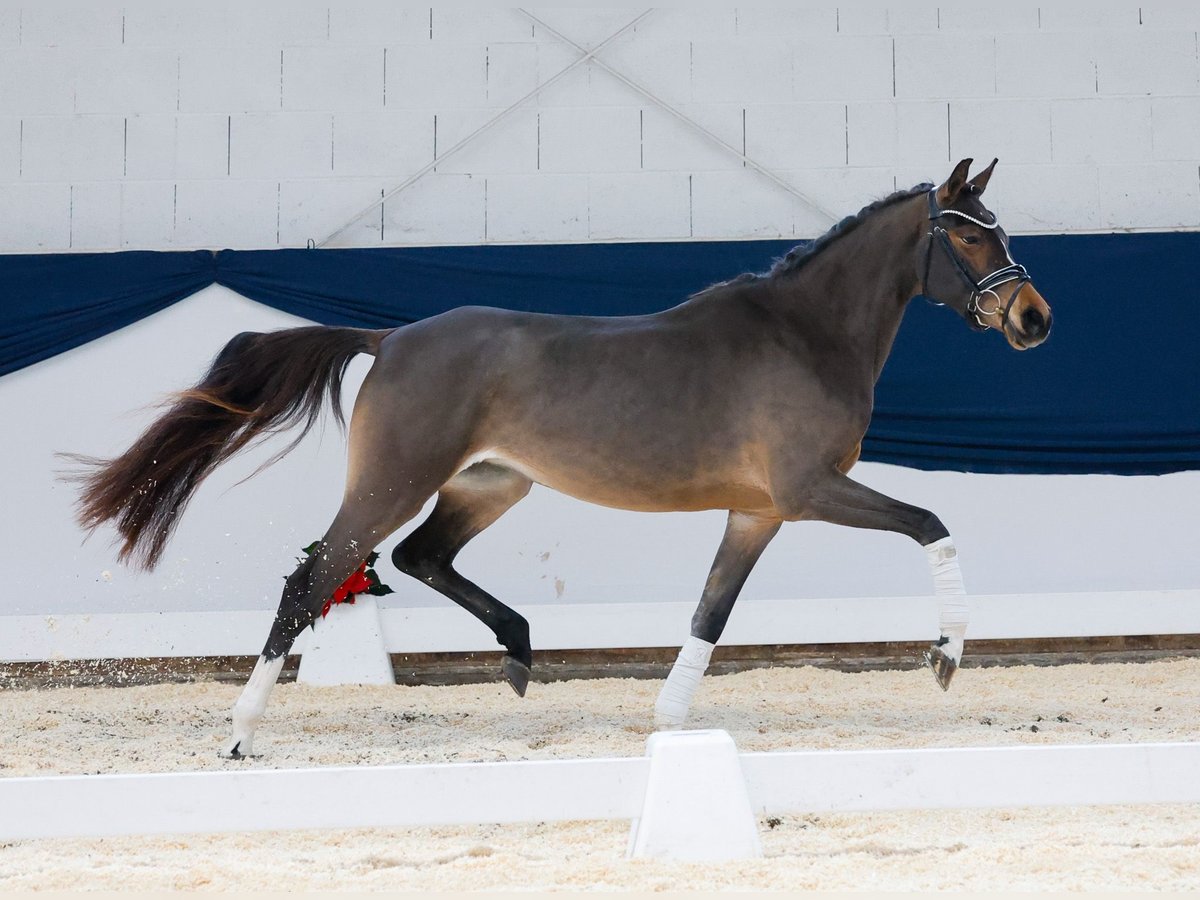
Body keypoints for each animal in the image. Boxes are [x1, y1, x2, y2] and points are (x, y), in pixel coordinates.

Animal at [72, 158, 1051, 758]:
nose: (1034, 319)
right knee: (312, 582)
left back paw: (518, 653)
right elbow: (932, 523)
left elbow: (712, 611)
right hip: (394, 482)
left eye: (998, 229)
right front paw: (945, 655)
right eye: (970, 235)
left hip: (491, 484)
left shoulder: (759, 510)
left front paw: (668, 721)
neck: (806, 334)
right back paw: (240, 733)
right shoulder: (810, 489)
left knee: (419, 558)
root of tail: (390, 338)